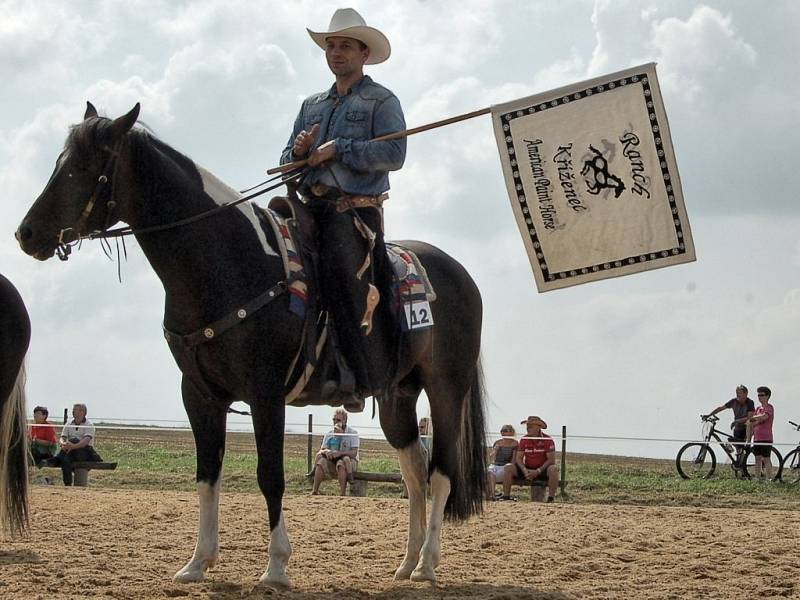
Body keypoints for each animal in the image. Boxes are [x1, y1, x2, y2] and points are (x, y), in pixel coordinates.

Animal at [14, 103, 488, 584]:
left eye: (83, 166)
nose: (26, 233)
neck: (230, 263)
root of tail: (459, 274)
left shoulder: (266, 394)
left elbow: (269, 476)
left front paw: (276, 566)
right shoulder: (199, 395)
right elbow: (207, 474)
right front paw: (197, 562)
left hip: (446, 390)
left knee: (441, 473)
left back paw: (427, 564)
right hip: (398, 397)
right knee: (414, 474)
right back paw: (406, 563)